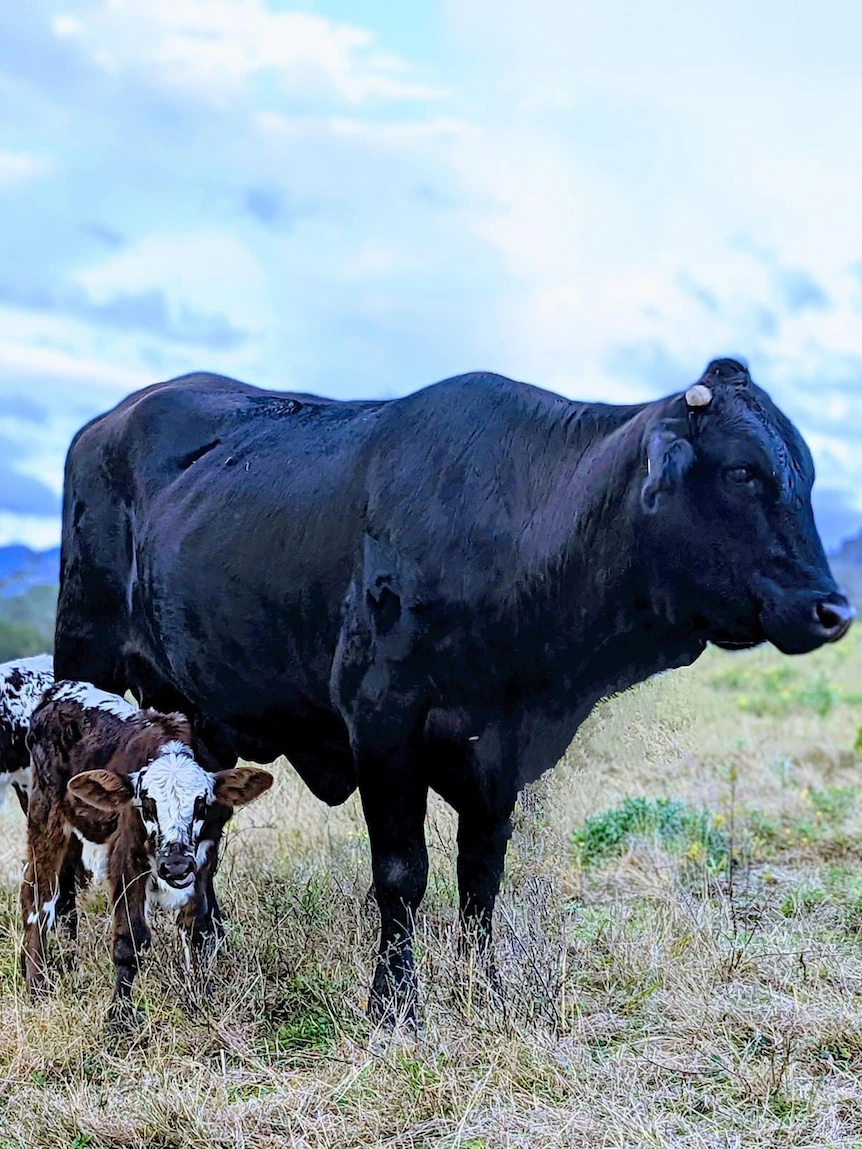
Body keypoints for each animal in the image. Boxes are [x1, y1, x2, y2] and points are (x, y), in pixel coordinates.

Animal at [21, 680, 271, 1015]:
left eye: (201, 805)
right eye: (148, 805)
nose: (175, 865)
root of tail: (59, 689)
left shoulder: (204, 856)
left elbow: (197, 928)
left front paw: (199, 998)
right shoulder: (126, 858)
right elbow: (130, 939)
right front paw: (119, 1017)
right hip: (45, 815)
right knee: (39, 898)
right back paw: (36, 988)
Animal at [55, 358, 859, 1024]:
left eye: (806, 475)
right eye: (743, 472)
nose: (832, 609)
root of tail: (108, 421)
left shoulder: (499, 753)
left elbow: (481, 875)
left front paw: (486, 987)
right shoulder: (384, 725)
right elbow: (402, 874)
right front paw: (394, 1003)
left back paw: (210, 936)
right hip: (83, 660)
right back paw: (62, 934)